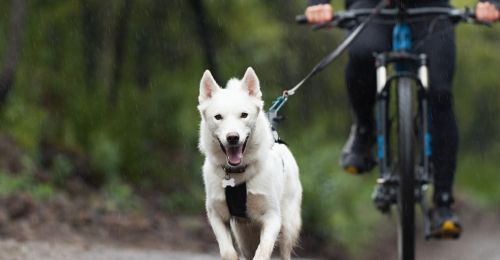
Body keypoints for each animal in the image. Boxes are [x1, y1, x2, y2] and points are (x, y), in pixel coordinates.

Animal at [198, 67, 300, 260]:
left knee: (284, 251)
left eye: (244, 115)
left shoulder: (272, 217)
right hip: (244, 235)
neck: (237, 174)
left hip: (288, 227)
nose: (232, 137)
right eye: (218, 117)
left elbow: (263, 250)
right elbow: (228, 252)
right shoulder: (216, 215)